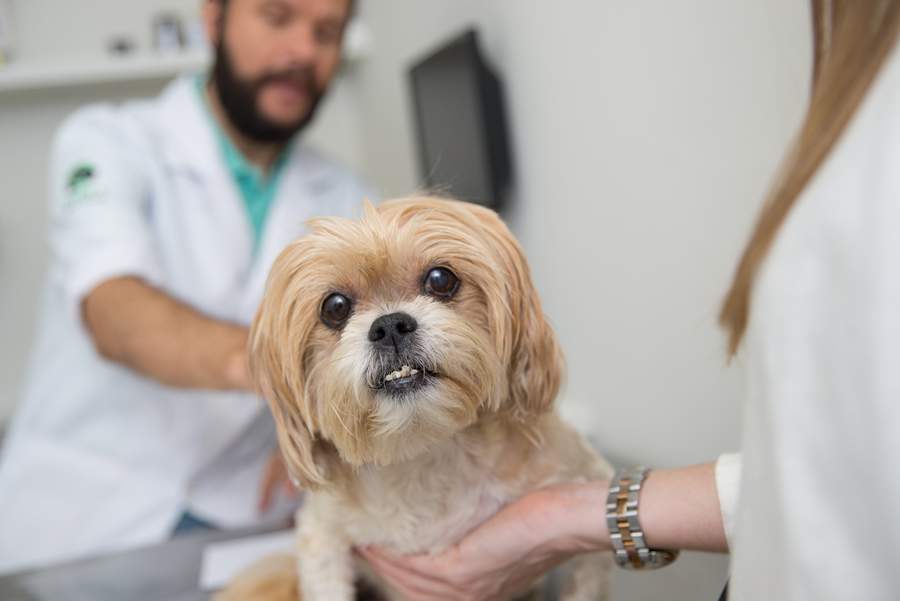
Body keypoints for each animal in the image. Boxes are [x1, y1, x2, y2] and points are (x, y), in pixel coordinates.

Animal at [218, 197, 613, 600]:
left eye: (440, 279)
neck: (422, 451)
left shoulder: (583, 483)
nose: (390, 326)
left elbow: (587, 580)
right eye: (335, 307)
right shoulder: (321, 534)